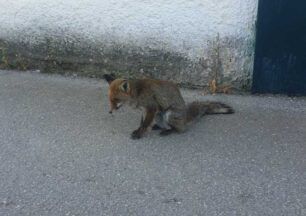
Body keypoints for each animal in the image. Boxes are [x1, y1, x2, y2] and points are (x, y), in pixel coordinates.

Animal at [103, 73, 234, 139]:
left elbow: (145, 124)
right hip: (158, 116)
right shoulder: (144, 110)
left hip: (168, 114)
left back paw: (168, 131)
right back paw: (158, 127)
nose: (110, 112)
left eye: (116, 100)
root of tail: (185, 116)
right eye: (109, 99)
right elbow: (142, 123)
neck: (138, 93)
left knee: (180, 129)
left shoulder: (151, 107)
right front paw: (139, 130)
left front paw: (140, 134)